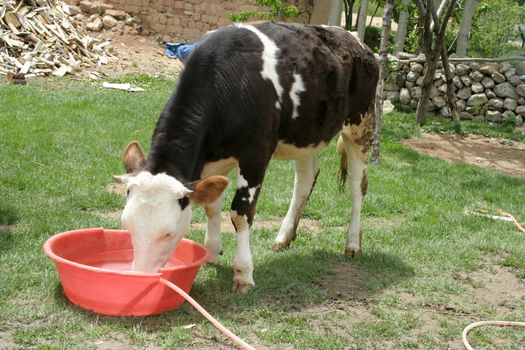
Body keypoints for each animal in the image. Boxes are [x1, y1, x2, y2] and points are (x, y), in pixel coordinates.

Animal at [115, 21, 376, 292]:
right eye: (126, 225)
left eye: (168, 232)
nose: (139, 278)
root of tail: (353, 38)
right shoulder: (211, 158)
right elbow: (211, 205)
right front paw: (211, 251)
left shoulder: (256, 154)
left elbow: (240, 214)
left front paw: (243, 274)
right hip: (305, 134)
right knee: (305, 179)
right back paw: (283, 237)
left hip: (362, 124)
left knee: (358, 185)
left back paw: (353, 243)